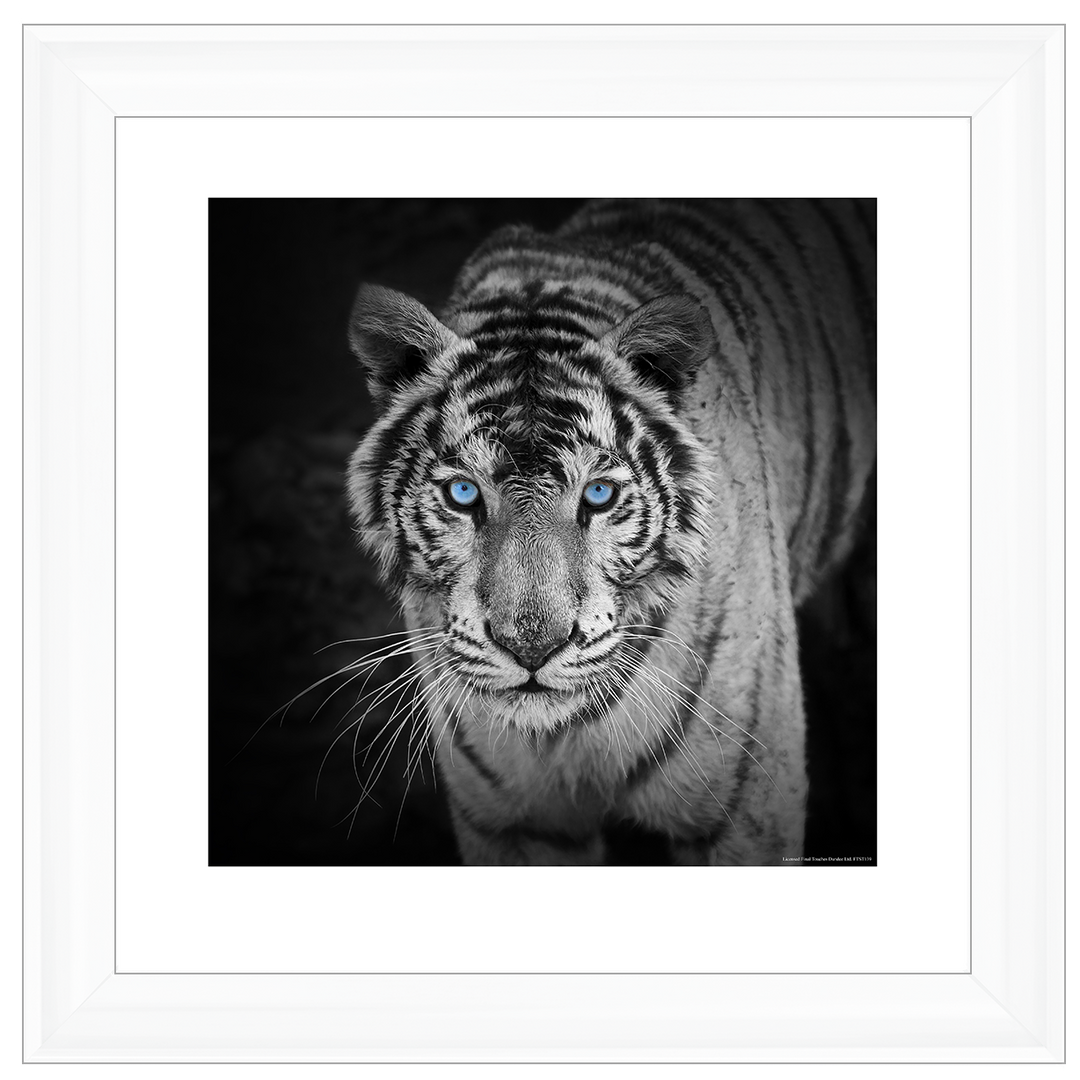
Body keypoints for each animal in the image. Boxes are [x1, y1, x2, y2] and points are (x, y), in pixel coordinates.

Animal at [344, 198, 875, 865]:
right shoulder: (513, 822)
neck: (563, 735)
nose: (532, 649)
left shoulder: (743, 810)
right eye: (463, 493)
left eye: (597, 495)